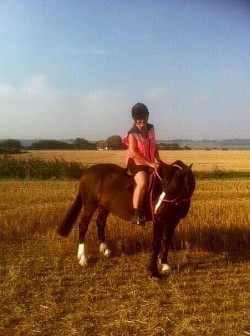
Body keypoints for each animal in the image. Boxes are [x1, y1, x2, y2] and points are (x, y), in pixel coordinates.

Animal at [57, 160, 196, 278]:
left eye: (176, 187)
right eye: (163, 185)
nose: (157, 212)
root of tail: (87, 172)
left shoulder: (173, 221)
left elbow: (166, 241)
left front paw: (165, 264)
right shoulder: (159, 221)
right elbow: (156, 243)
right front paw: (154, 271)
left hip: (104, 206)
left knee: (100, 223)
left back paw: (105, 249)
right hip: (89, 204)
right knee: (83, 227)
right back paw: (82, 258)